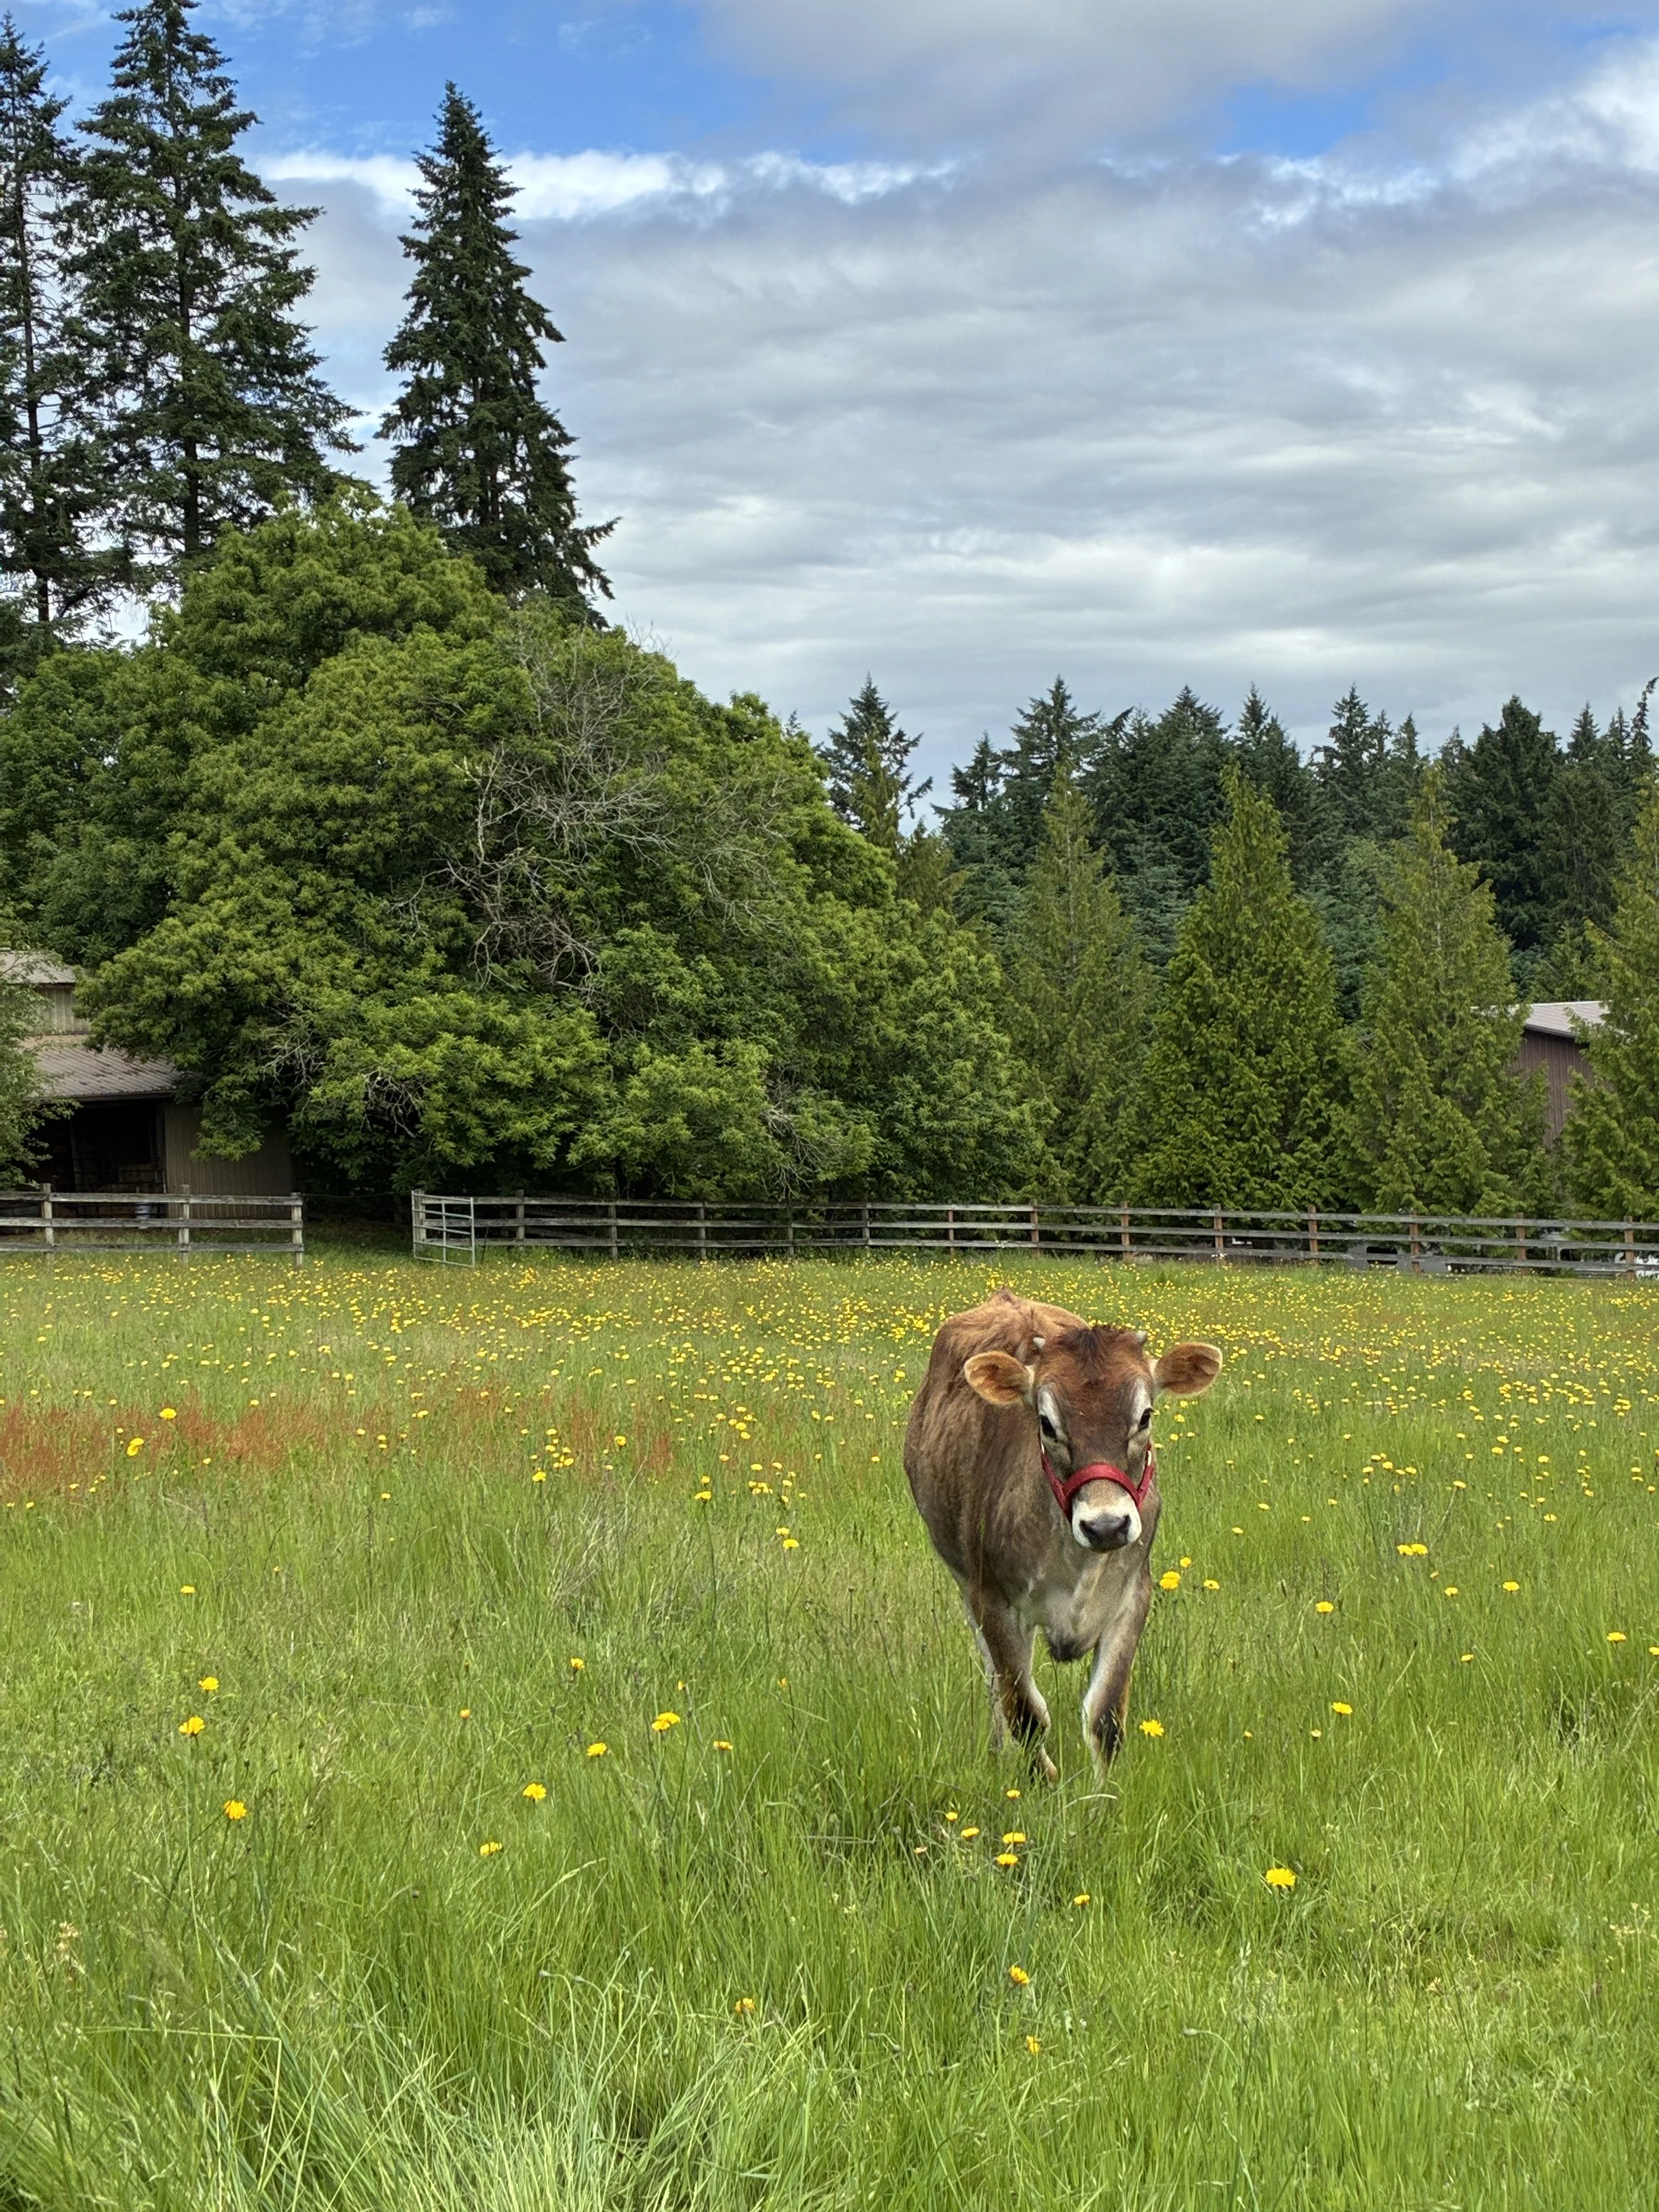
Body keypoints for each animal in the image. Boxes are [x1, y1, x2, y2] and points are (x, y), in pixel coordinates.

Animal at [903, 1288, 1221, 1776]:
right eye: (1046, 1422)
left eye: (1145, 1416)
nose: (1106, 1525)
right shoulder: (991, 1598)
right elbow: (1024, 1711)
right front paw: (1042, 1784)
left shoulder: (1133, 1596)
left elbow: (1106, 1719)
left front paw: (1104, 1795)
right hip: (965, 1581)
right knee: (995, 1681)